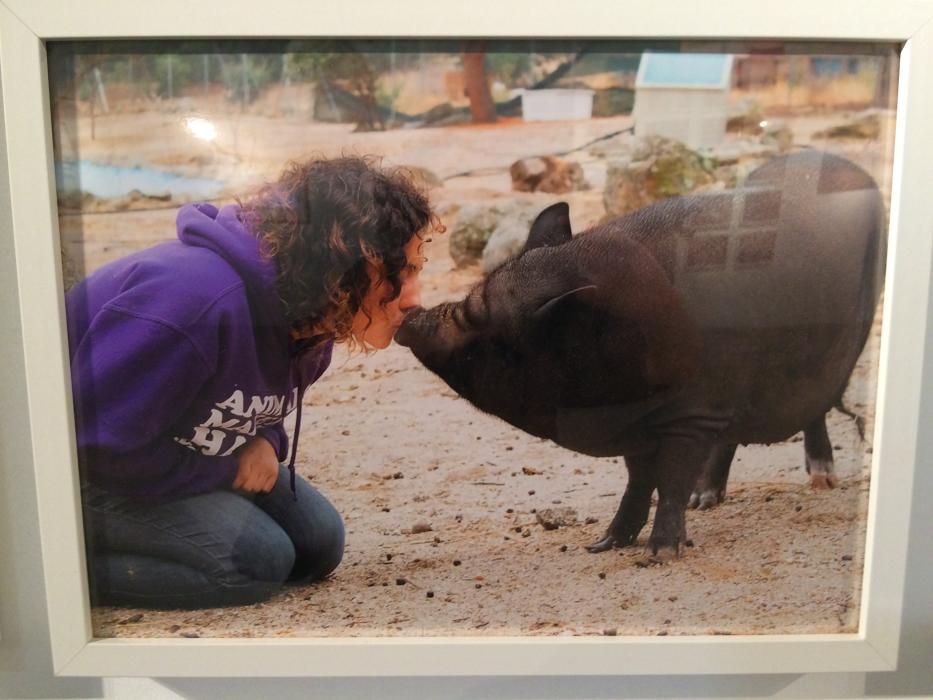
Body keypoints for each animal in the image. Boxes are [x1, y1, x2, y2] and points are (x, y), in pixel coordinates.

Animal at [396, 152, 888, 556]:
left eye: (492, 338)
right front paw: (603, 544)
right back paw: (706, 501)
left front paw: (660, 554)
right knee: (733, 436)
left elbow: (670, 479)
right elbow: (638, 480)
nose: (410, 318)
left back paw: (823, 480)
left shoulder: (691, 414)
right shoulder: (641, 424)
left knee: (816, 405)